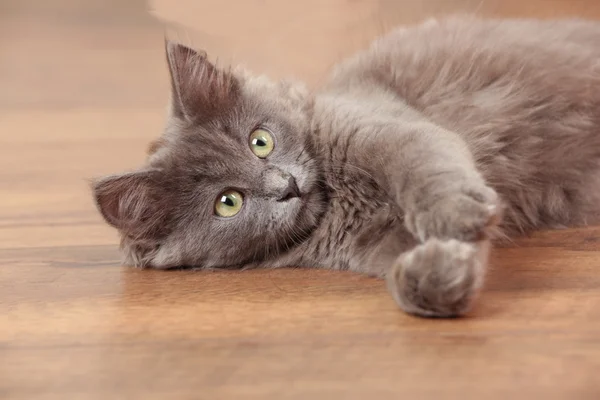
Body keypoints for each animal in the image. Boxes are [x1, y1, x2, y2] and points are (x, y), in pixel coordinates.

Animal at [91, 16, 600, 318]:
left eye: (261, 141)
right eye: (228, 203)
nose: (285, 185)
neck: (339, 201)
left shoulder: (392, 131)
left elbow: (425, 172)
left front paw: (455, 216)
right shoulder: (375, 242)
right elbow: (424, 264)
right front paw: (436, 276)